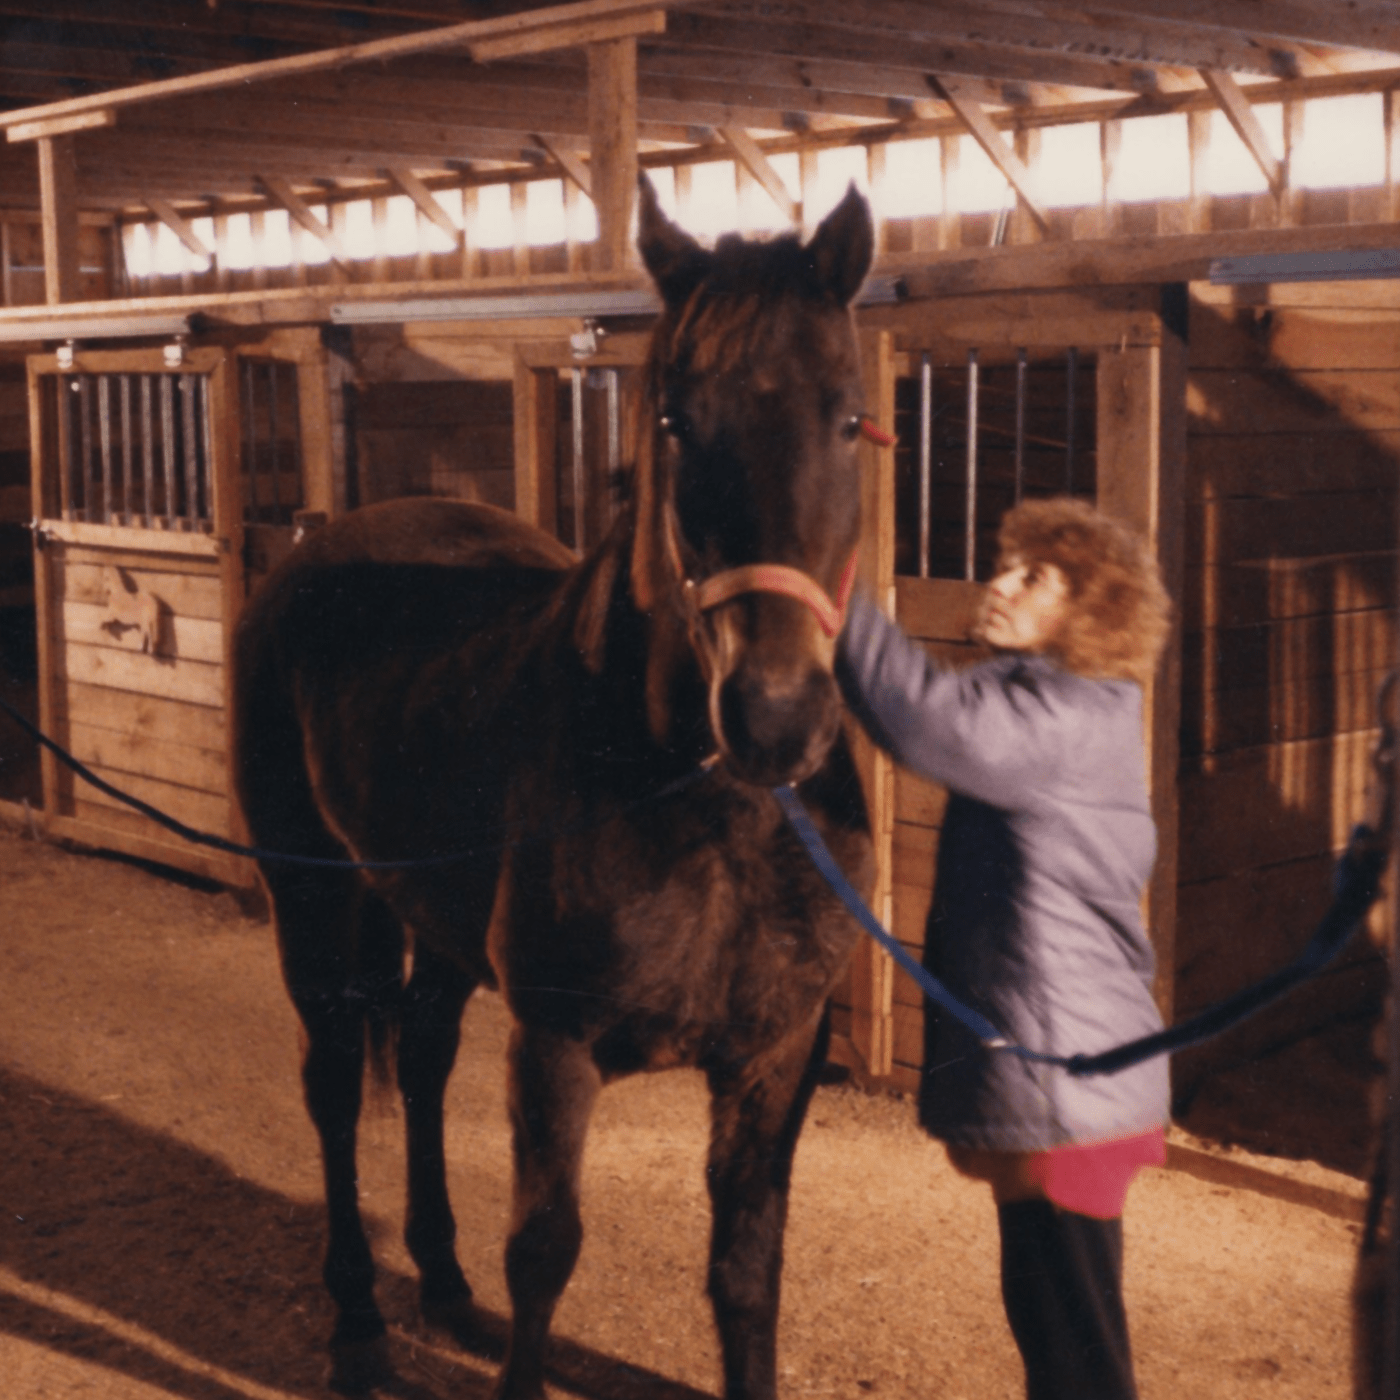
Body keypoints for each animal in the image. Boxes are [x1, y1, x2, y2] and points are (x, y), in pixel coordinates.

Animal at [231, 175, 876, 1400]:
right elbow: (544, 1250)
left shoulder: (776, 1056)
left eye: (852, 418)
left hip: (429, 915)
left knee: (422, 1058)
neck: (703, 811)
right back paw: (358, 1326)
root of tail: (320, 543)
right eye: (674, 420)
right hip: (312, 891)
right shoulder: (555, 1042)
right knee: (333, 1083)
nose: (774, 717)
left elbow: (747, 1271)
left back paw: (440, 1283)